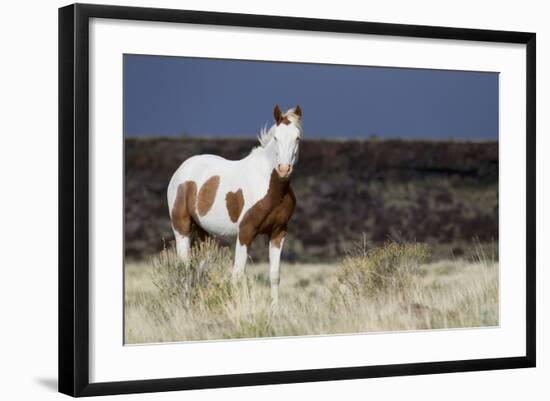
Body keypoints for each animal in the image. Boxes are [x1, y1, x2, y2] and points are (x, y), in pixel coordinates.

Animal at [168, 104, 304, 304]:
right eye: (276, 137)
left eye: (297, 138)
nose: (284, 169)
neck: (270, 187)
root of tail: (181, 170)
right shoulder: (245, 232)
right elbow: (238, 275)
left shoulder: (278, 233)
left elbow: (274, 275)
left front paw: (275, 308)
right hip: (182, 229)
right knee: (184, 269)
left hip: (203, 233)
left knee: (199, 269)